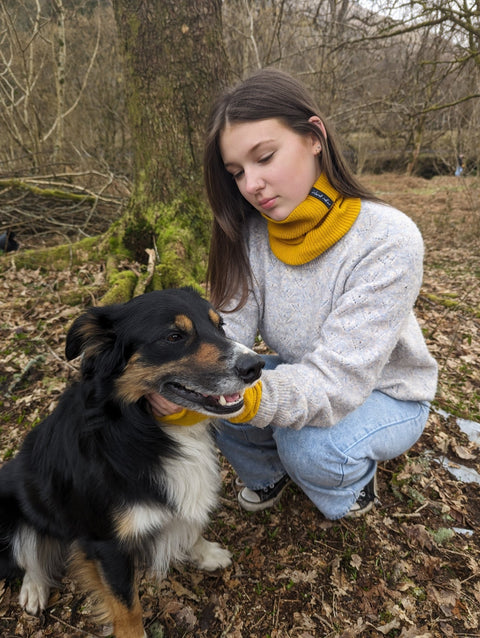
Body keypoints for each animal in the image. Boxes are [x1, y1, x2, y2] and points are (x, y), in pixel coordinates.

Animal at [0, 288, 262, 636]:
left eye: (220, 326)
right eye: (174, 336)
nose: (256, 365)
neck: (137, 427)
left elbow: (191, 525)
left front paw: (205, 553)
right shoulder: (107, 544)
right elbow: (127, 606)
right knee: (28, 555)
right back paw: (33, 589)